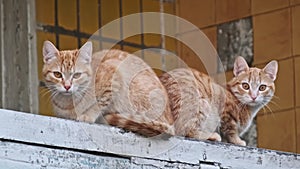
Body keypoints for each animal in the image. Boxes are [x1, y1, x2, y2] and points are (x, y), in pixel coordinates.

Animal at [42, 40, 173, 136]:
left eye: (77, 75)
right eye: (57, 74)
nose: (67, 86)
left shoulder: (114, 75)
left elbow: (99, 103)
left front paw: (88, 115)